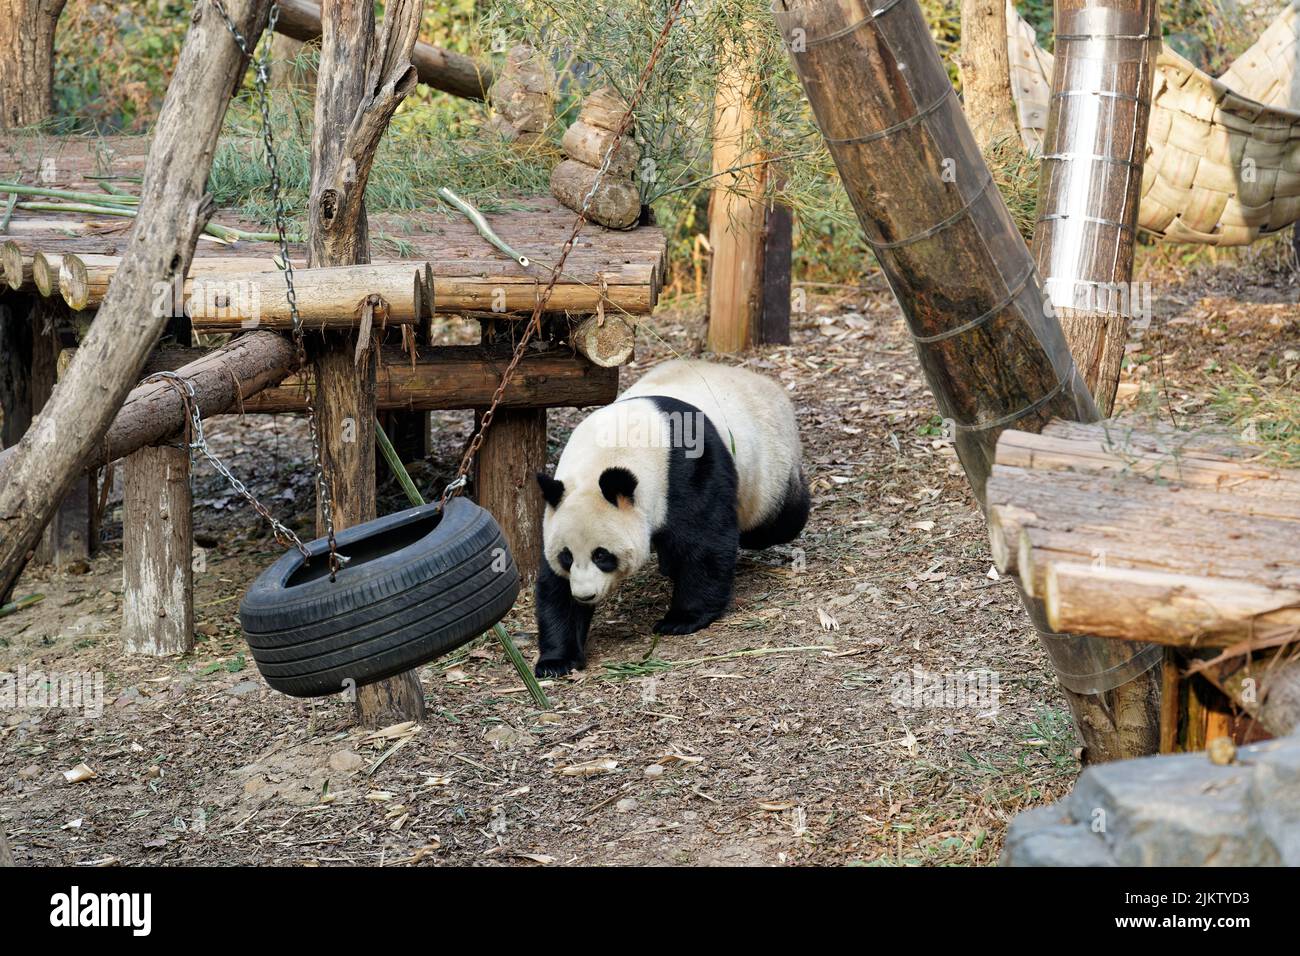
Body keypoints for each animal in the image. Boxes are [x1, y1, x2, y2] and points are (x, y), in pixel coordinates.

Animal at [533, 359, 809, 676]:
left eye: (602, 555)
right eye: (566, 556)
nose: (585, 595)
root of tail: (763, 381)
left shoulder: (688, 471)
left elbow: (704, 542)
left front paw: (681, 619)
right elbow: (554, 587)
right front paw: (556, 661)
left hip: (769, 470)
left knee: (777, 522)